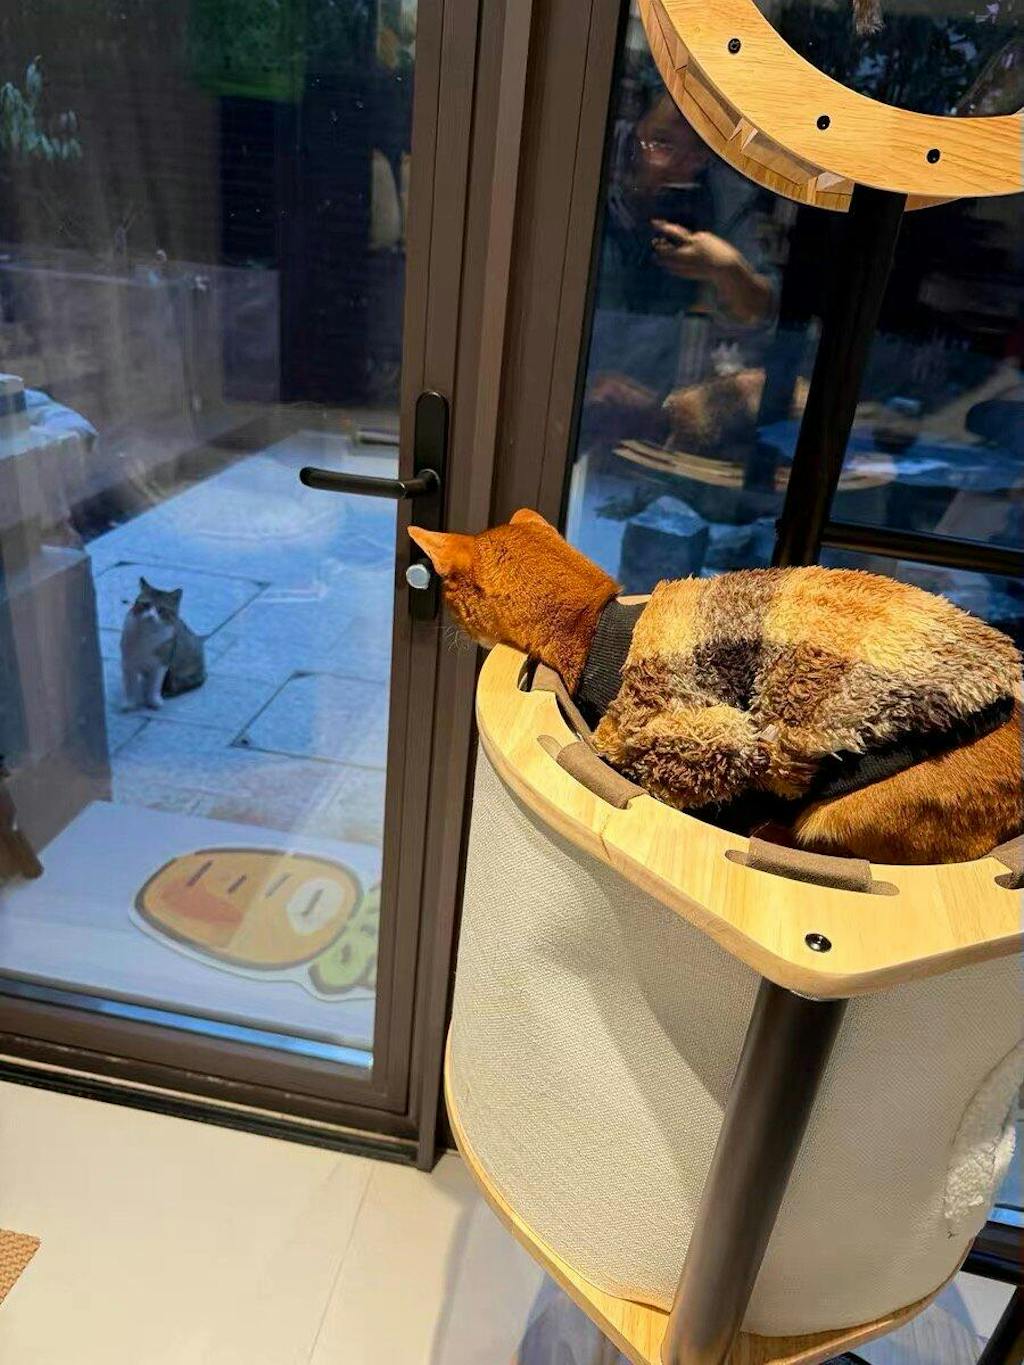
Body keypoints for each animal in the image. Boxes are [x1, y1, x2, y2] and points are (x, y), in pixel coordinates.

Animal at [120, 577, 207, 711]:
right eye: (146, 605)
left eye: (161, 610)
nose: (151, 616)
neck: (147, 635)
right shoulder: (128, 662)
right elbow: (130, 684)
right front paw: (130, 702)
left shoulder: (161, 664)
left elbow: (155, 685)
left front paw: (153, 701)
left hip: (178, 672)